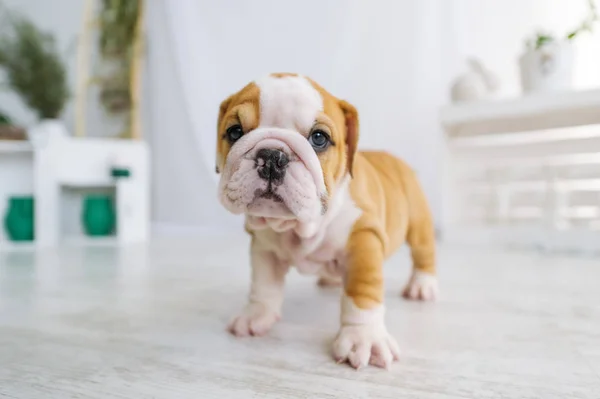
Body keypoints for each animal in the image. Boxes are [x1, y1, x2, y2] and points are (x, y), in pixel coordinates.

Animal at [216, 73, 436, 370]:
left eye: (319, 138)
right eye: (235, 132)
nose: (272, 156)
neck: (300, 225)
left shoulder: (363, 239)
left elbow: (363, 292)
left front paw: (363, 337)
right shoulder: (264, 248)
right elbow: (264, 284)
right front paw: (256, 315)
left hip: (418, 223)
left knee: (423, 252)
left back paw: (422, 285)